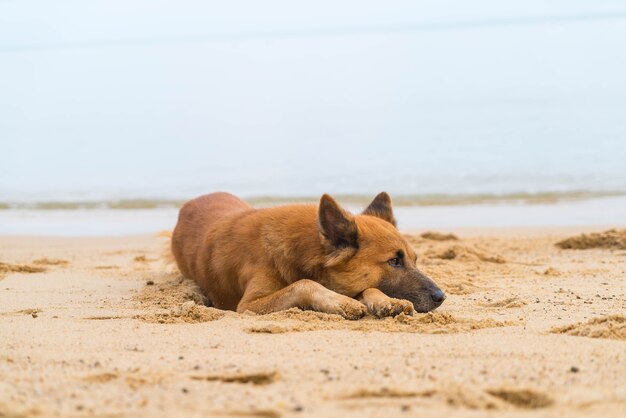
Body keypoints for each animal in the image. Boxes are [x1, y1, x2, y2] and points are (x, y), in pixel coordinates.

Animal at [171, 193, 444, 320]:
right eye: (394, 261)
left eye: (415, 259)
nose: (441, 297)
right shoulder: (248, 305)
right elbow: (303, 283)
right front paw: (342, 302)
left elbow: (368, 287)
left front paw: (384, 301)